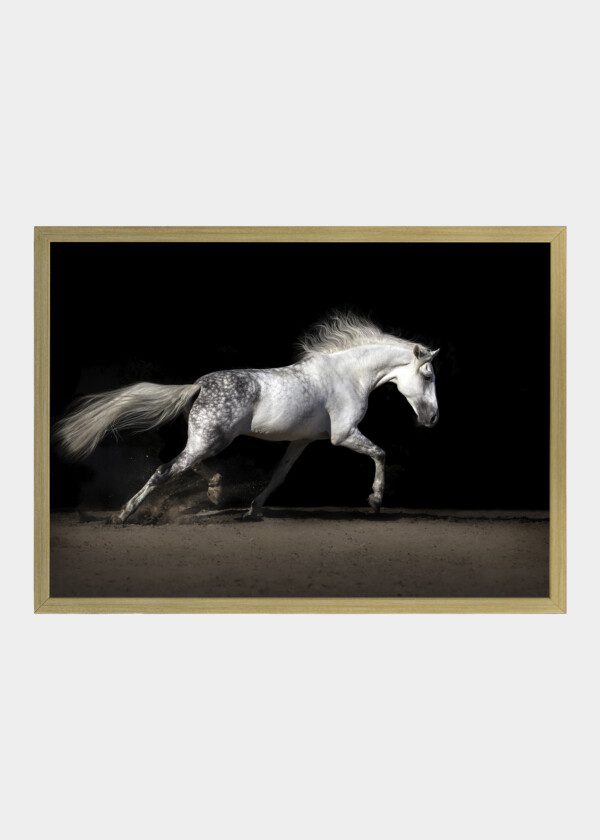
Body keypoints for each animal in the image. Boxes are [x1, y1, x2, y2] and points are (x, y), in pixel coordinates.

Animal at [55, 313, 439, 522]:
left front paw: (252, 509)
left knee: (188, 465)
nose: (432, 418)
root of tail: (198, 384)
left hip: (207, 440)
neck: (347, 375)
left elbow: (279, 475)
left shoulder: (301, 440)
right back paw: (124, 514)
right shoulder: (343, 435)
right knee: (165, 470)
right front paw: (375, 501)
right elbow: (380, 453)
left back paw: (215, 490)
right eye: (429, 375)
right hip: (210, 440)